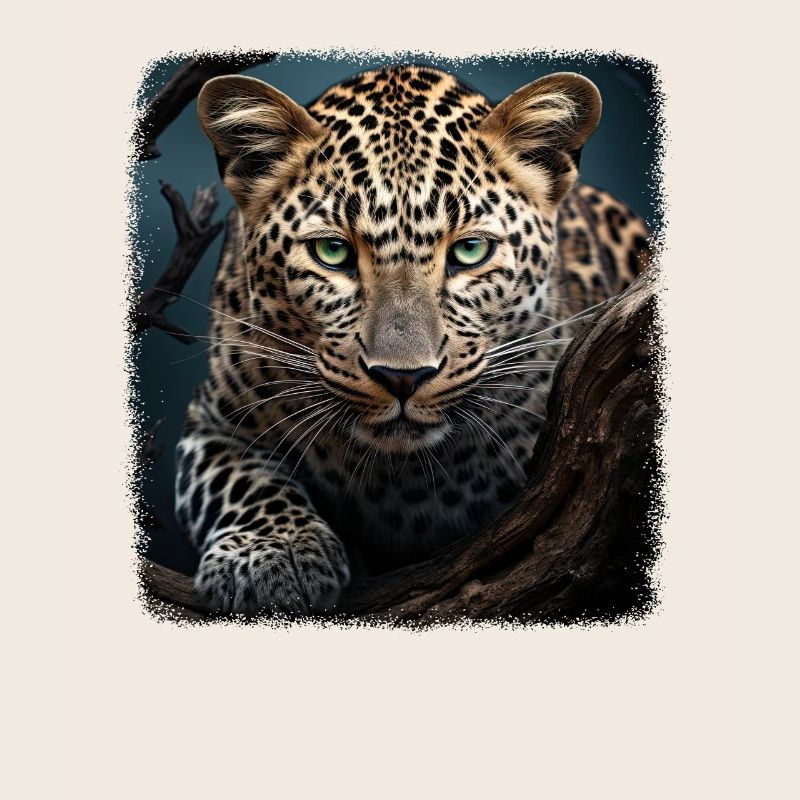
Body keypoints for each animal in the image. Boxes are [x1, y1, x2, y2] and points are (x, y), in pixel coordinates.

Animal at [173, 64, 651, 615]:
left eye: (470, 250)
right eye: (332, 252)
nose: (403, 378)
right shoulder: (211, 421)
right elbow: (241, 481)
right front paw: (271, 554)